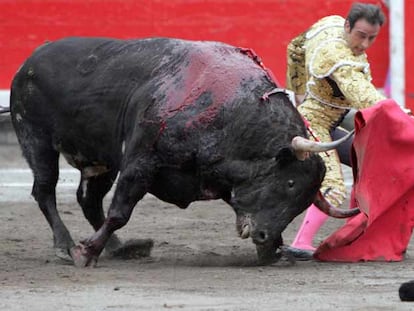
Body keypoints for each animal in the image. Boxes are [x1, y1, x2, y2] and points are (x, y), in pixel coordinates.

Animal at [8, 36, 356, 266]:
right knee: (45, 191)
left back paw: (121, 248)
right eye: (290, 182)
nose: (264, 237)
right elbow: (120, 211)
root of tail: (29, 63)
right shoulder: (140, 162)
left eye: (302, 202)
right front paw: (85, 253)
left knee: (89, 200)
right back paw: (66, 246)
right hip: (36, 139)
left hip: (99, 161)